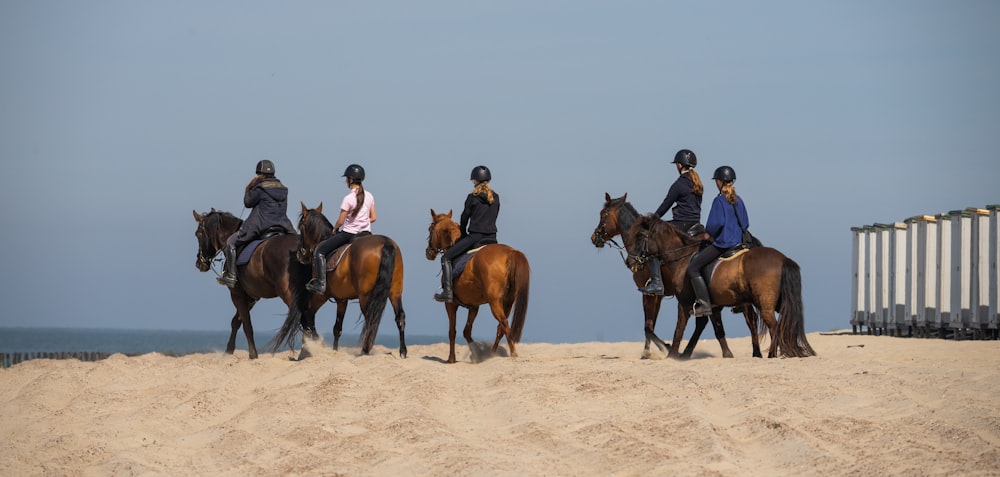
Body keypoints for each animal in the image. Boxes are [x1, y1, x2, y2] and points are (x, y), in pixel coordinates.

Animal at [192, 206, 308, 358]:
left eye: (198, 234)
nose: (199, 263)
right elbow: (236, 321)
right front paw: (229, 351)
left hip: (289, 294)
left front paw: (253, 355)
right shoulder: (252, 297)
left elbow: (246, 324)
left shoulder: (237, 294)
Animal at [270, 201, 406, 356]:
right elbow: (337, 328)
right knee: (400, 317)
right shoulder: (342, 299)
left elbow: (309, 314)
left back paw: (365, 351)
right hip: (395, 292)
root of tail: (386, 243)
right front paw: (334, 351)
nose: (301, 254)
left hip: (365, 296)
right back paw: (402, 351)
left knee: (370, 320)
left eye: (301, 227)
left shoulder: (321, 295)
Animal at [424, 207, 532, 360]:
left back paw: (513, 354)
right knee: (501, 327)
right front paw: (477, 353)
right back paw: (492, 355)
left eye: (430, 229)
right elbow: (466, 331)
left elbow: (452, 331)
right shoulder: (474, 306)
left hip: (495, 302)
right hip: (508, 301)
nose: (428, 252)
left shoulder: (450, 304)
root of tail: (511, 252)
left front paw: (452, 359)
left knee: (504, 323)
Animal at [588, 192, 760, 356]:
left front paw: (659, 349)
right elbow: (651, 325)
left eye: (603, 214)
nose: (594, 237)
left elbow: (648, 326)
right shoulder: (659, 297)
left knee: (749, 318)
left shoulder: (649, 294)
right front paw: (652, 351)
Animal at [628, 212, 816, 356]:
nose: (632, 261)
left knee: (774, 327)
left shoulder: (684, 304)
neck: (682, 258)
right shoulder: (713, 307)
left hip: (764, 306)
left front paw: (672, 354)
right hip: (777, 303)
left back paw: (770, 355)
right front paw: (726, 355)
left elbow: (678, 332)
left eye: (640, 236)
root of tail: (783, 259)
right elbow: (718, 331)